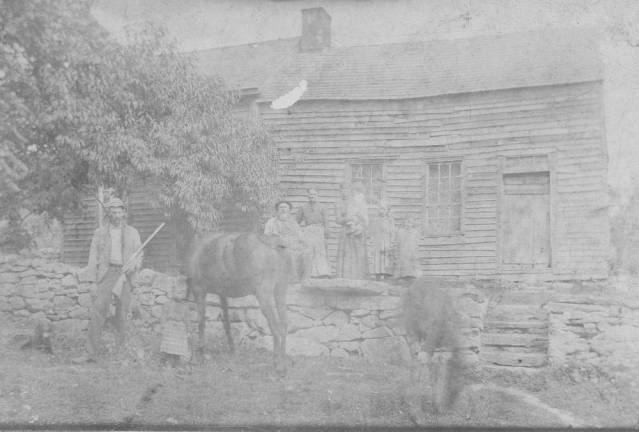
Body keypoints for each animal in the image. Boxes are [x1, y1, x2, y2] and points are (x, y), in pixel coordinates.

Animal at [184, 233, 292, 374]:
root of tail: (276, 243)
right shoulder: (222, 294)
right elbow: (227, 323)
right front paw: (232, 350)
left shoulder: (198, 289)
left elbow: (201, 322)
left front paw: (200, 354)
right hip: (281, 289)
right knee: (284, 324)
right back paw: (283, 362)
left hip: (264, 294)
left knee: (276, 327)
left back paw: (278, 364)